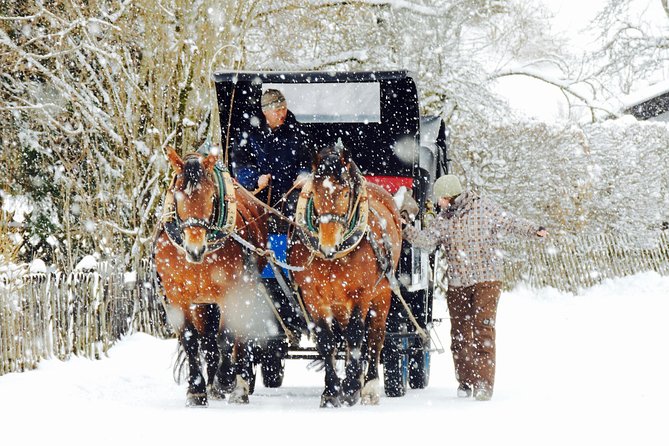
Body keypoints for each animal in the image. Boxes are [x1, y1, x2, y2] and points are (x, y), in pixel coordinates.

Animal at [153, 146, 269, 407]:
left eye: (210, 196)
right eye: (177, 196)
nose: (195, 249)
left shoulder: (230, 292)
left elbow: (226, 336)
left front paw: (225, 379)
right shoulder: (178, 296)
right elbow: (191, 339)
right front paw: (196, 390)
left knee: (239, 336)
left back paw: (238, 387)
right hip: (202, 302)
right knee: (207, 339)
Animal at [288, 140, 402, 407]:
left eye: (344, 192)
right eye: (315, 192)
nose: (327, 245)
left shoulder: (362, 293)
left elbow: (356, 333)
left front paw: (350, 388)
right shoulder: (312, 295)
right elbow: (326, 340)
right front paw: (332, 392)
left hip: (382, 294)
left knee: (375, 336)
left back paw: (368, 385)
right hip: (340, 301)